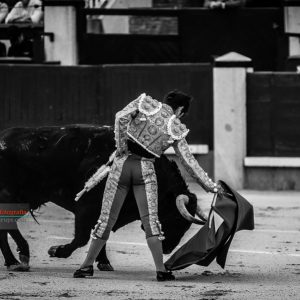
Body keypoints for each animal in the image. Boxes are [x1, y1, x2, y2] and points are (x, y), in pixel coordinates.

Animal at [0, 125, 200, 270]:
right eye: (176, 219)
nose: (167, 249)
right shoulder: (86, 208)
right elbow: (83, 238)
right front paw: (57, 251)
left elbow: (101, 232)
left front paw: (103, 262)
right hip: (10, 196)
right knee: (6, 224)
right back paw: (17, 259)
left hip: (24, 200)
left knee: (7, 225)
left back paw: (15, 259)